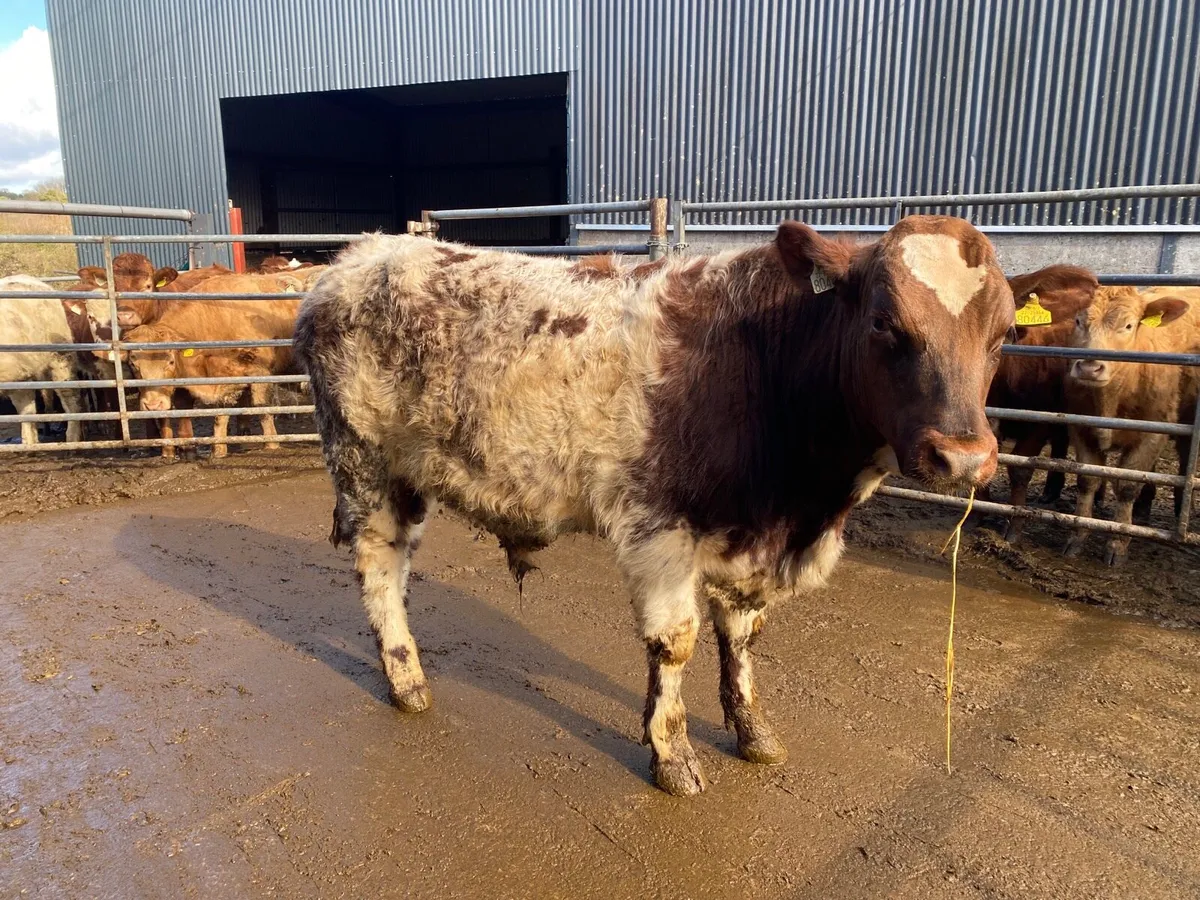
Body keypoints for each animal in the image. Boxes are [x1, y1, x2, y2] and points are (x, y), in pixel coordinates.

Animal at [294, 215, 1014, 796]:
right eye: (885, 323)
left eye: (1003, 334)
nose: (964, 456)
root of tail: (360, 254)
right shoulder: (660, 528)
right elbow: (676, 642)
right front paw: (672, 754)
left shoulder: (747, 537)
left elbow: (742, 637)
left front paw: (753, 731)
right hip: (365, 465)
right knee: (380, 570)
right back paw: (407, 682)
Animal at [1064, 285, 1200, 565]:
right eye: (1079, 321)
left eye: (1128, 326)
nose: (1089, 367)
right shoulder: (1080, 428)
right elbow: (1087, 480)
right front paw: (1078, 533)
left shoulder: (1155, 430)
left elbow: (1127, 485)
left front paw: (1118, 542)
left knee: (1185, 458)